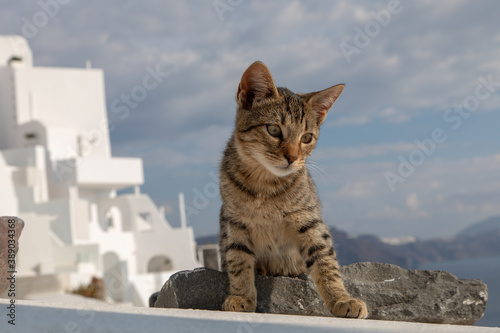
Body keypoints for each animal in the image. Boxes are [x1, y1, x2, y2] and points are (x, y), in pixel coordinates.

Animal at [219, 61, 368, 318]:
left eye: (306, 138)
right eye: (273, 130)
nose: (292, 157)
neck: (265, 185)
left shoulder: (309, 220)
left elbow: (325, 261)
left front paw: (341, 299)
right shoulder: (234, 222)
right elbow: (238, 261)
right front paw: (242, 296)